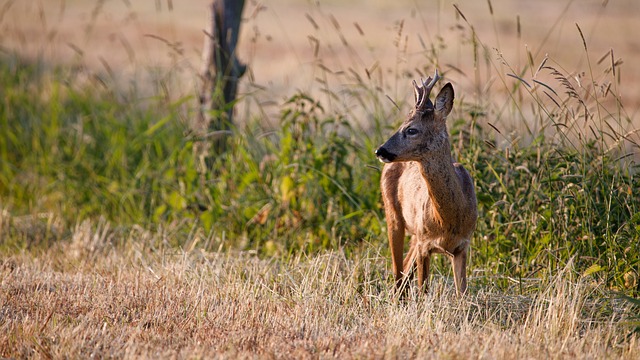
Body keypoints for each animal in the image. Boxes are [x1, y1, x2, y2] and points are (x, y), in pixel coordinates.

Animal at [376, 70, 476, 296]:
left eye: (412, 130)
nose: (380, 150)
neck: (448, 219)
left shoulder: (462, 245)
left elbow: (463, 293)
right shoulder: (425, 244)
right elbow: (423, 290)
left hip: (415, 233)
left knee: (404, 271)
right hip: (394, 217)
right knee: (397, 273)